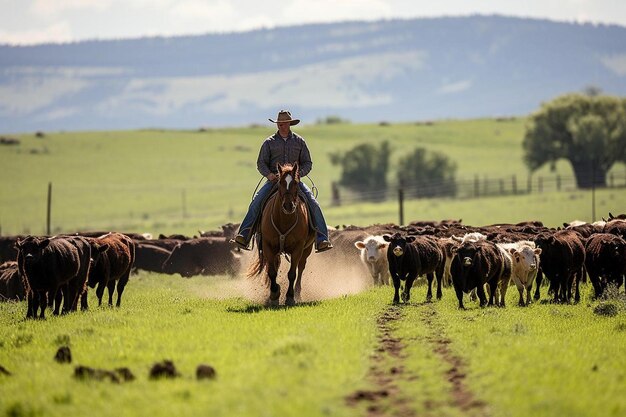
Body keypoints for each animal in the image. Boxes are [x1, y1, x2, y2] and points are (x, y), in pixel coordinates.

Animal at [247, 162, 314, 306]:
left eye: (296, 183)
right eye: (280, 182)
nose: (288, 206)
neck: (284, 220)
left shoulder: (298, 248)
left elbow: (292, 273)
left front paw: (290, 297)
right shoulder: (267, 245)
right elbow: (272, 272)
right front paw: (274, 295)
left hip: (307, 249)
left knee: (301, 267)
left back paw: (298, 293)